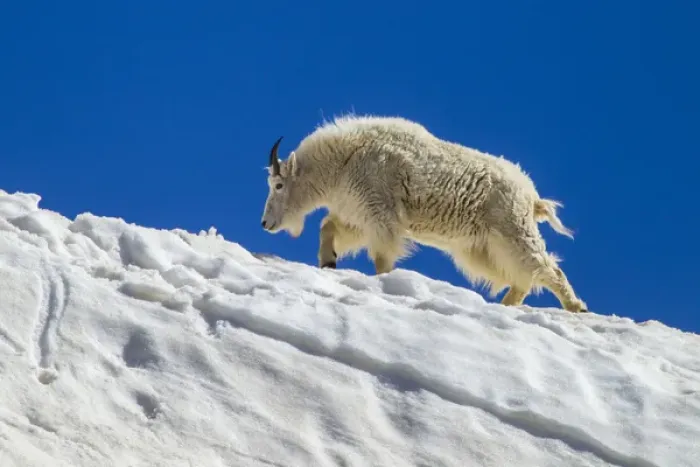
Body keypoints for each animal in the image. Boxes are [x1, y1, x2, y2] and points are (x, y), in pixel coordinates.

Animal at [260, 115, 587, 312]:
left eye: (278, 184)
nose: (265, 223)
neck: (344, 159)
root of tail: (531, 196)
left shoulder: (381, 215)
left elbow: (382, 258)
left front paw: (385, 283)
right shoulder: (359, 215)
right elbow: (328, 227)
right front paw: (329, 262)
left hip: (512, 231)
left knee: (547, 268)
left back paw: (576, 307)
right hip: (480, 248)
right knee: (522, 278)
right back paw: (506, 307)